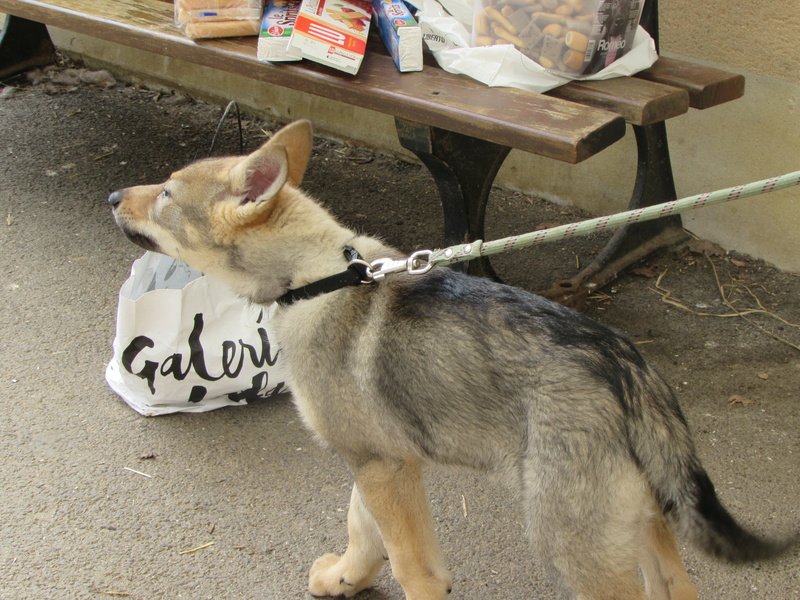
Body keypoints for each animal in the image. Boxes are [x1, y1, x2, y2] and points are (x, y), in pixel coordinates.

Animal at [109, 119, 796, 596]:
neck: (317, 277)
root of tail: (628, 368)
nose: (116, 196)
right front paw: (343, 580)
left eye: (165, 193)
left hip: (574, 545)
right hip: (639, 523)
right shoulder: (380, 460)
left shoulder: (380, 465)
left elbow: (413, 568)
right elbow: (363, 530)